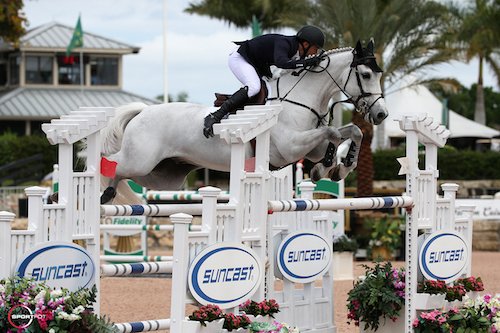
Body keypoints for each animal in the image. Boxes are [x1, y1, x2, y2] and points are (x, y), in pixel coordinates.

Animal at [97, 40, 386, 204]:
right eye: (366, 74)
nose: (381, 114)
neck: (299, 98)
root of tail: (143, 112)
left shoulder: (308, 147)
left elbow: (351, 131)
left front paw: (339, 167)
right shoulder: (289, 147)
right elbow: (332, 132)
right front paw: (327, 167)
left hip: (161, 176)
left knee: (124, 175)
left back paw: (110, 193)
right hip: (140, 160)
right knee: (110, 163)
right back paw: (104, 191)